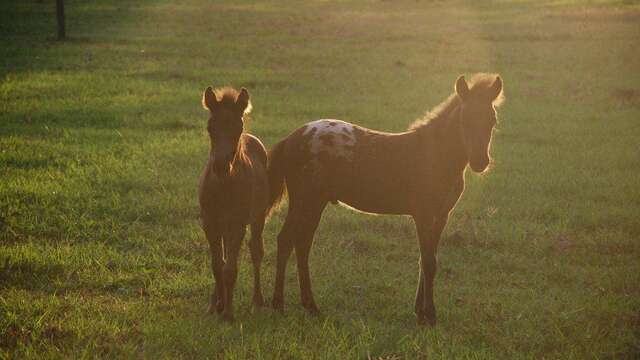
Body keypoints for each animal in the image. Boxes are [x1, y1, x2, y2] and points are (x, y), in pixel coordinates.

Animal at [198, 86, 268, 322]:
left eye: (238, 127)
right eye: (210, 128)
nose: (220, 166)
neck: (223, 186)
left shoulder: (238, 224)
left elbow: (230, 269)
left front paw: (228, 313)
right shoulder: (210, 223)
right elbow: (216, 265)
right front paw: (216, 305)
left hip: (257, 218)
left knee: (256, 251)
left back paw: (257, 301)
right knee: (225, 257)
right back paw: (216, 301)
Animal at [264, 74, 504, 326]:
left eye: (493, 120)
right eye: (464, 119)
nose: (480, 162)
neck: (435, 155)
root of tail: (292, 138)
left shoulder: (441, 216)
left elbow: (426, 260)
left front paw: (419, 311)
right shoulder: (423, 214)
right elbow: (429, 262)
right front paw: (430, 315)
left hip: (313, 203)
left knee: (301, 244)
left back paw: (310, 306)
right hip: (306, 200)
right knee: (286, 240)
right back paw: (279, 304)